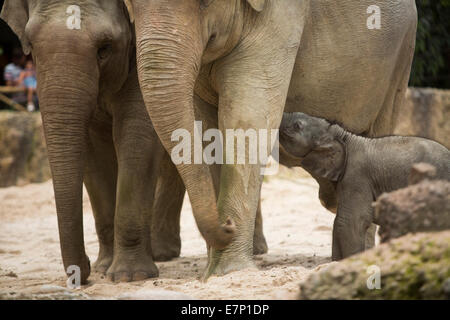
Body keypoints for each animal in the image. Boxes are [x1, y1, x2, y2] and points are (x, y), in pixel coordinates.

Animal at [0, 0, 190, 284]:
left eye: (105, 48)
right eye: (30, 45)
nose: (84, 269)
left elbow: (136, 133)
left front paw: (129, 276)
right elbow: (93, 152)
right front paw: (104, 268)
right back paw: (161, 253)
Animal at [124, 0, 418, 278]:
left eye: (205, 2)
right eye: (131, 6)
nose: (227, 225)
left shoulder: (281, 17)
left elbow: (247, 120)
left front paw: (229, 271)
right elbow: (207, 131)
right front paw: (213, 271)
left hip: (401, 57)